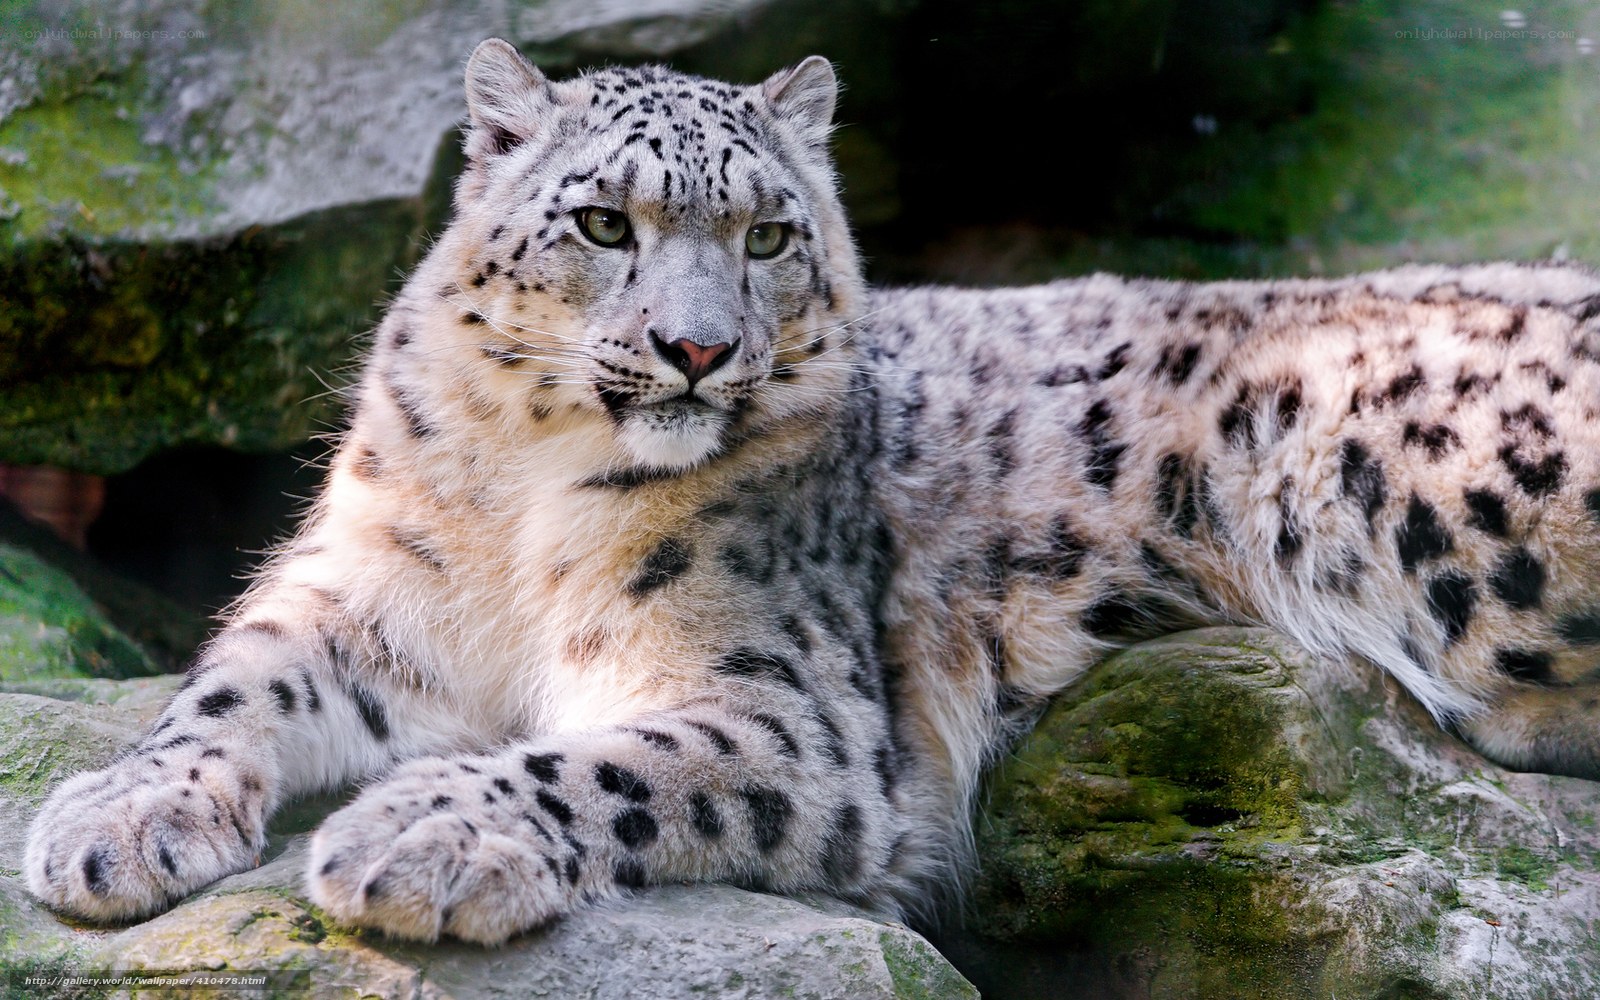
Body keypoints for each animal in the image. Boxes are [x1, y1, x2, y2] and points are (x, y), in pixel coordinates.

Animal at [25, 38, 1600, 946]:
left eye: (771, 234)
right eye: (605, 222)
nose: (697, 347)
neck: (523, 496)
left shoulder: (790, 708)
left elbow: (602, 763)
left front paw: (416, 834)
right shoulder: (364, 594)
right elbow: (232, 684)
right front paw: (113, 820)